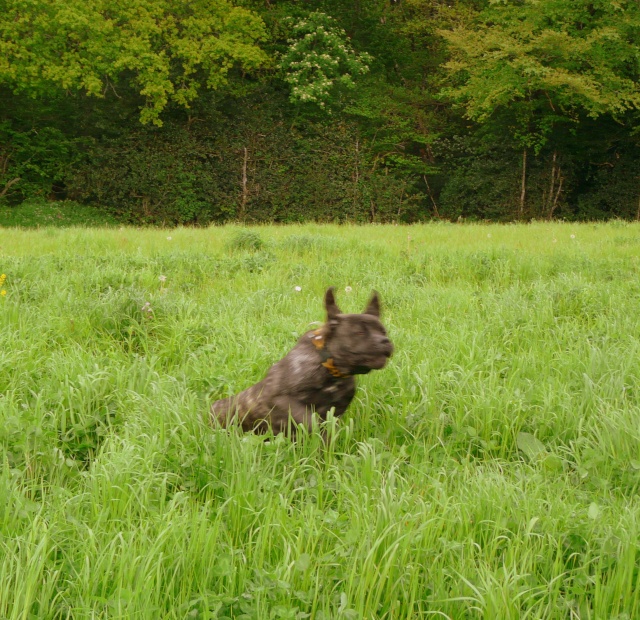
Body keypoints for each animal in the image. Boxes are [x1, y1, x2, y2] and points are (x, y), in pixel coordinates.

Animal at [211, 286, 390, 436]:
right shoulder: (280, 399)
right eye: (359, 333)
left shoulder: (335, 409)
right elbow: (308, 419)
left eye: (383, 331)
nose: (384, 340)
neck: (329, 367)